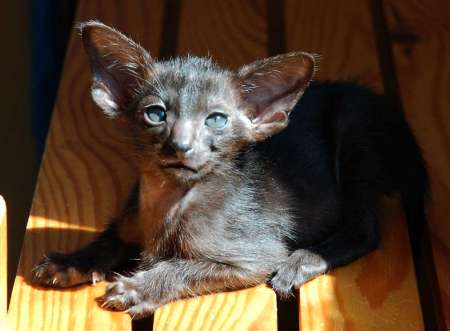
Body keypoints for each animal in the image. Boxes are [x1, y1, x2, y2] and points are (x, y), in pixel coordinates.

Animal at [31, 21, 426, 320]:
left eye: (216, 119)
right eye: (156, 113)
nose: (181, 146)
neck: (168, 202)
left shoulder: (254, 257)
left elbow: (181, 266)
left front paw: (138, 287)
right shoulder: (127, 223)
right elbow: (108, 240)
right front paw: (71, 262)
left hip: (354, 132)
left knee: (366, 230)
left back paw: (300, 262)